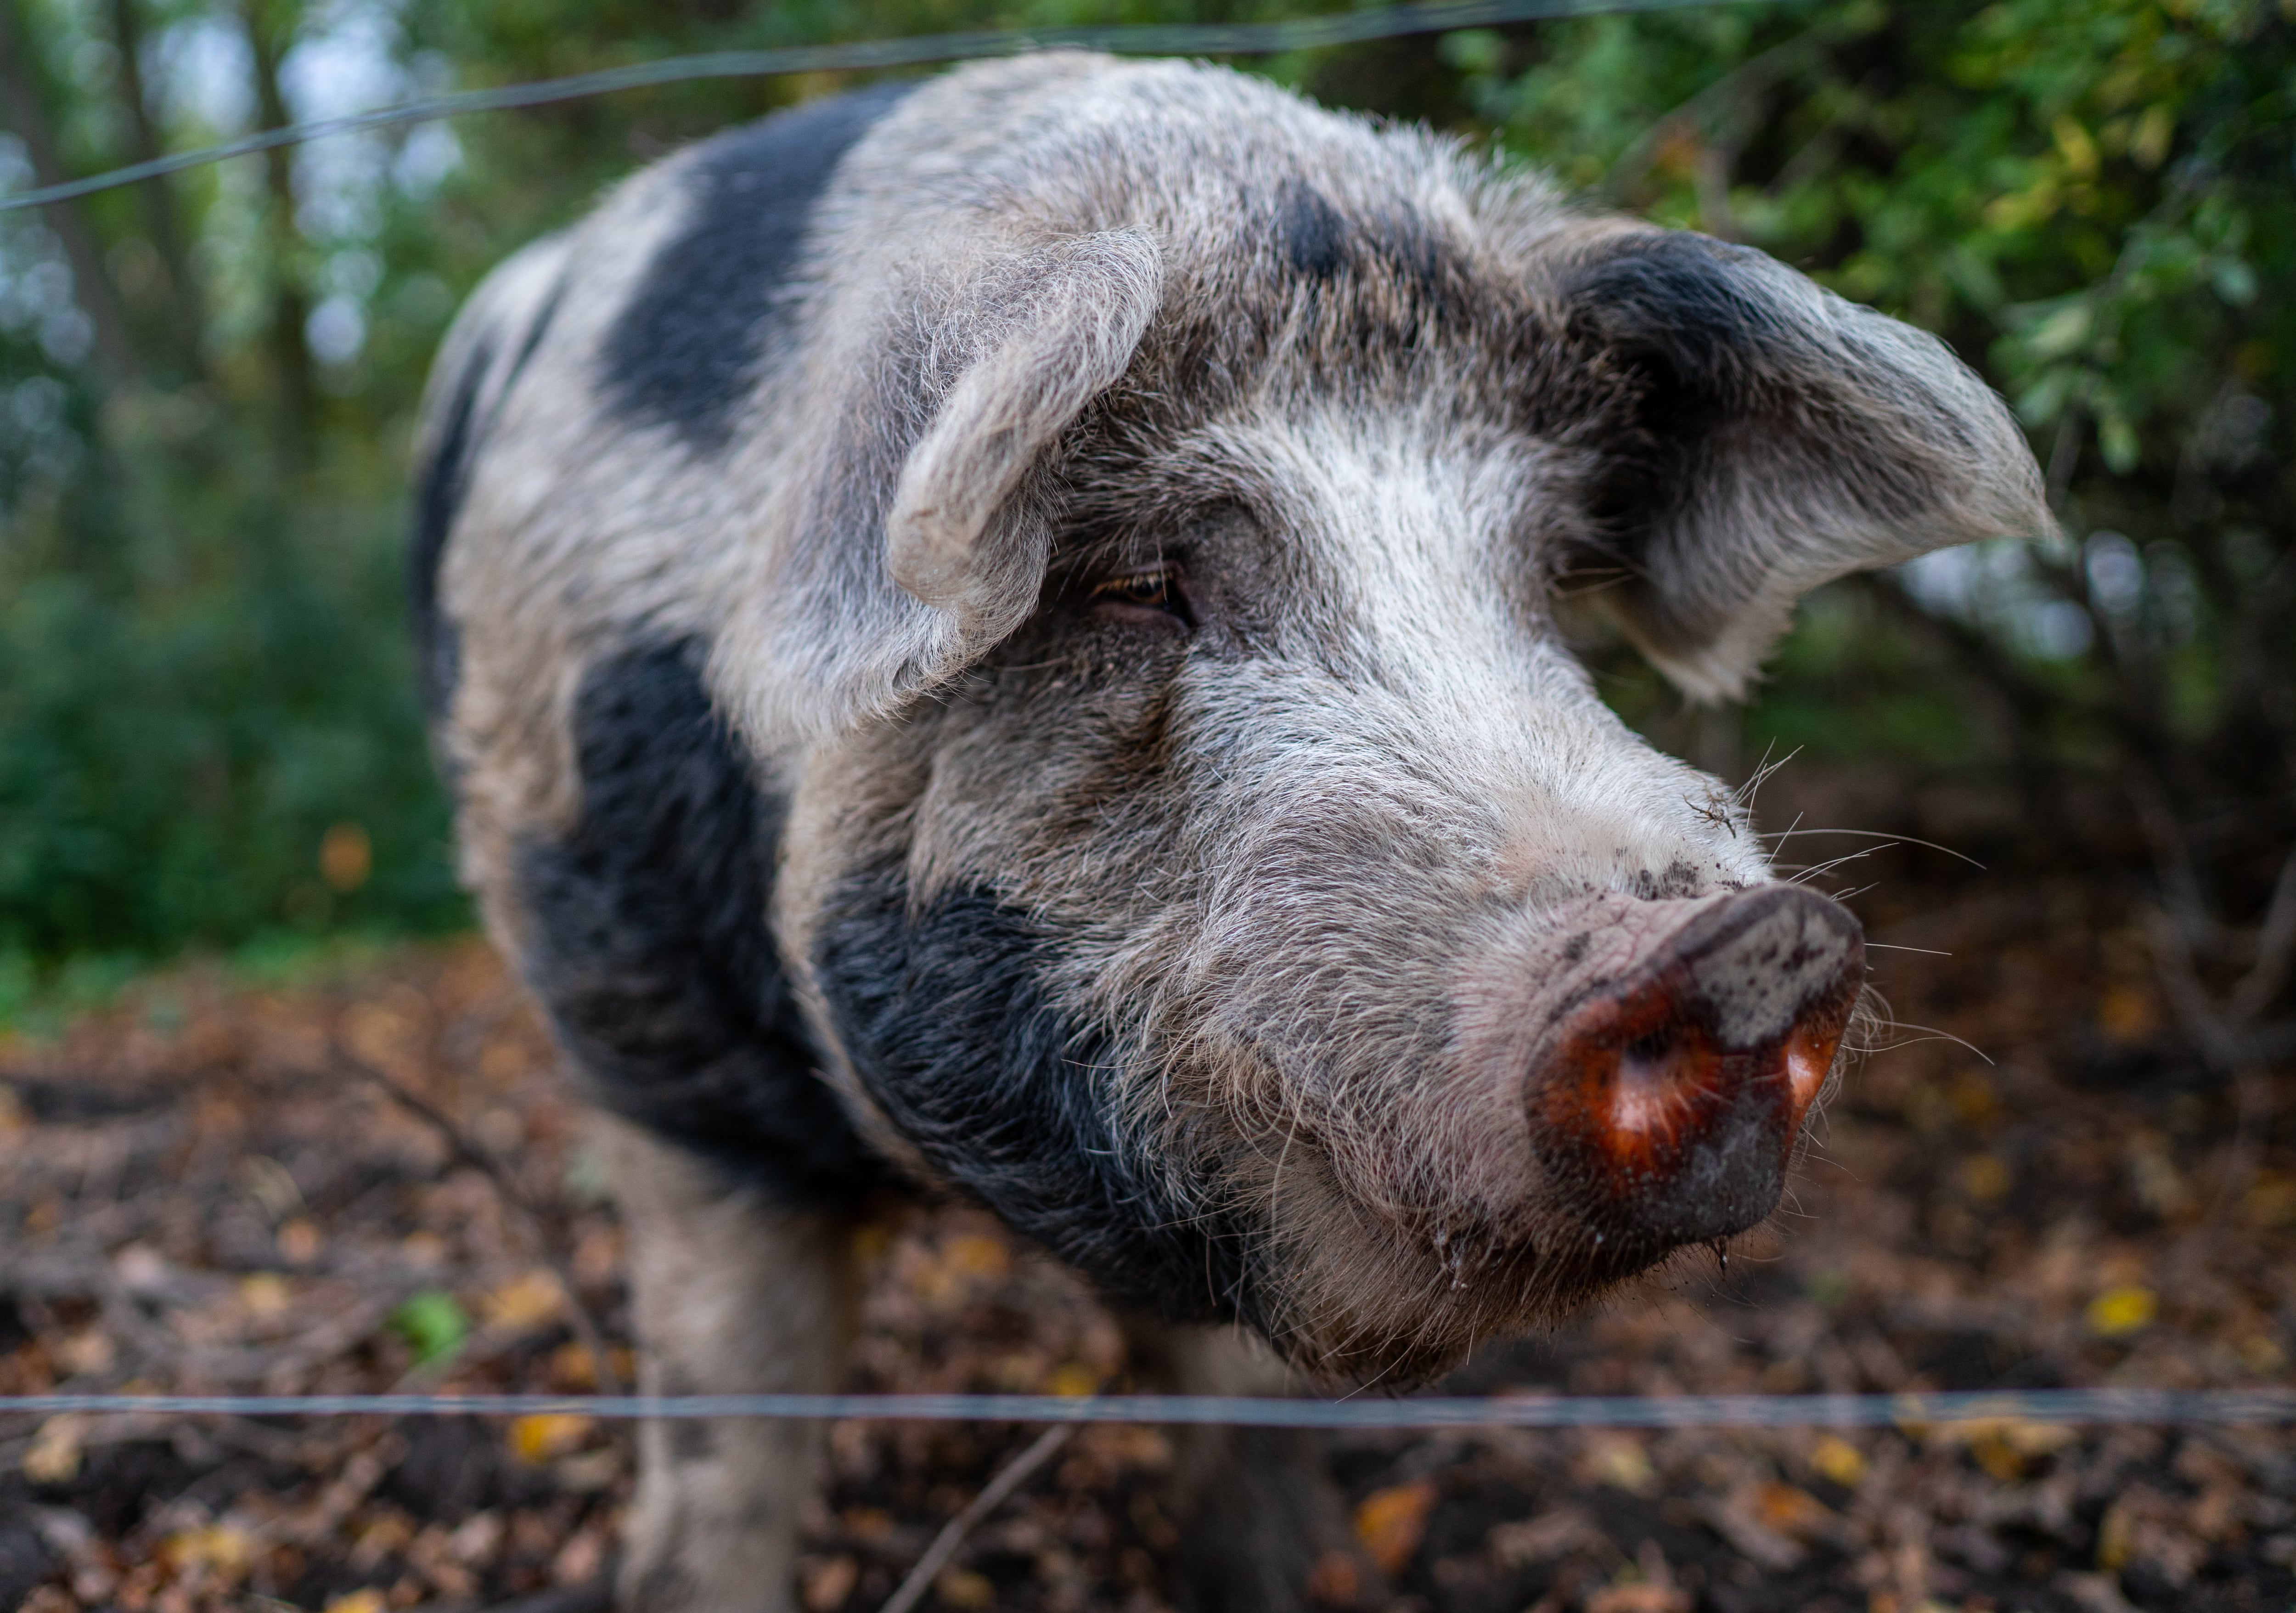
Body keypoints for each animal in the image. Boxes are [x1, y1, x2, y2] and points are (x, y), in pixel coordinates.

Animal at [413, 51, 2048, 1613]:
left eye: (1538, 583)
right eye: (1137, 583)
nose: (1740, 940)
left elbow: (1239, 1411)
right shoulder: (654, 1067)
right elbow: (728, 1442)